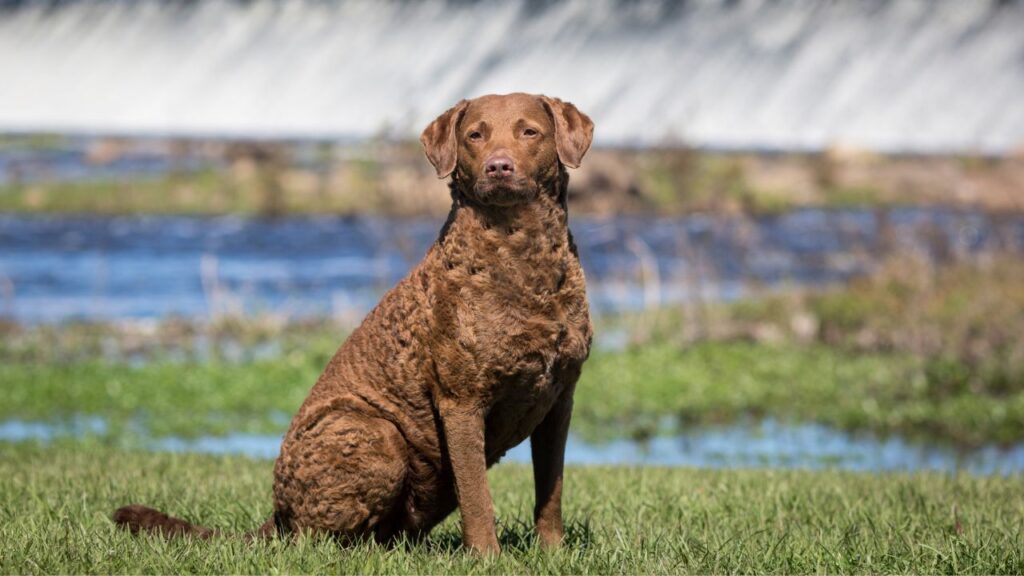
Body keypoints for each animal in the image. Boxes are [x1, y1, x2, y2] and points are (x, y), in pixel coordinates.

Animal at [114, 93, 593, 553]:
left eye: (529, 132)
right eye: (475, 134)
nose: (499, 166)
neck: (521, 258)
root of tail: (278, 513)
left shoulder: (560, 399)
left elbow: (551, 490)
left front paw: (552, 553)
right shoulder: (462, 401)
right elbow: (478, 498)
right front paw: (486, 558)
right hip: (374, 432)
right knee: (318, 538)